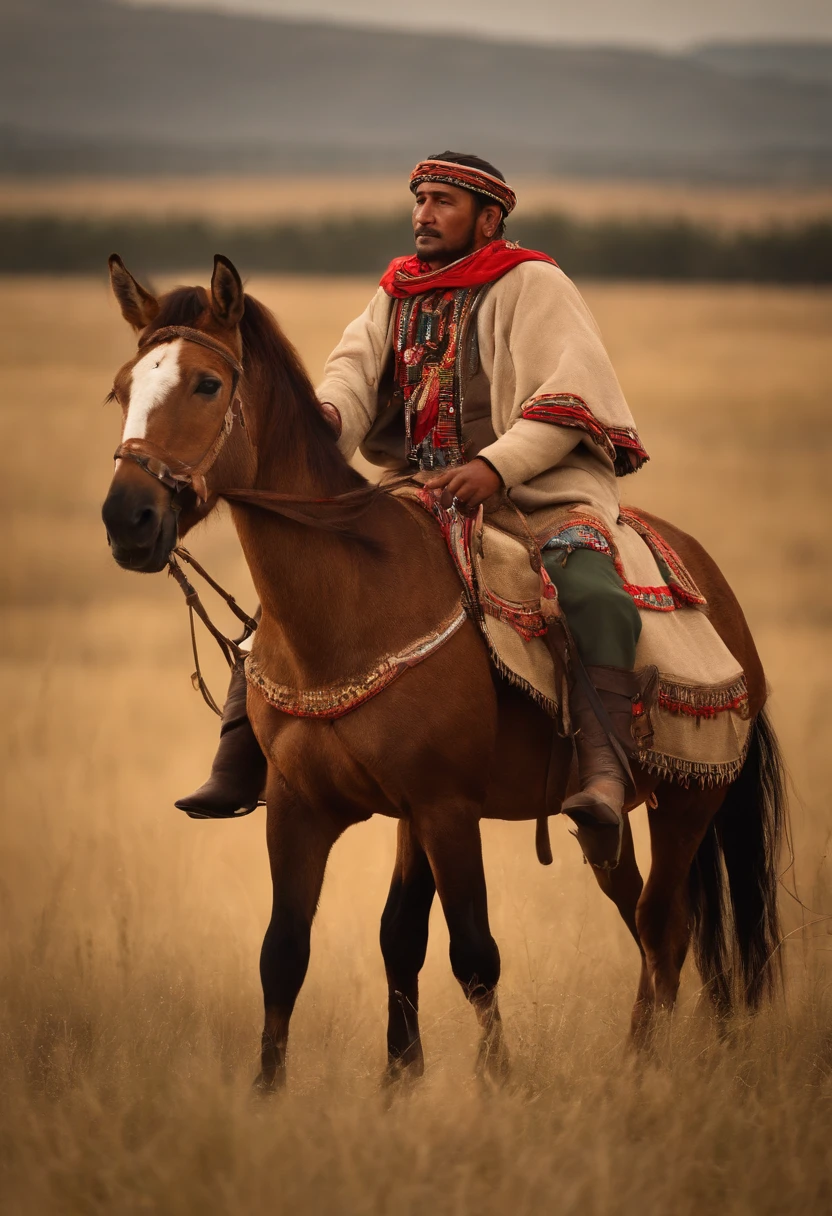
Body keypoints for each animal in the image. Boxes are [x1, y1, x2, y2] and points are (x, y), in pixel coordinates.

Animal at [100, 256, 783, 1094]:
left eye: (205, 384)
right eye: (124, 389)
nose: (126, 519)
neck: (354, 603)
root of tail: (722, 601)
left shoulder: (447, 807)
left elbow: (474, 953)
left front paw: (496, 1085)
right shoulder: (307, 808)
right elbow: (297, 952)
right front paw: (312, 1090)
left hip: (689, 802)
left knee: (663, 927)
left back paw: (638, 1065)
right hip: (609, 826)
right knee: (645, 917)